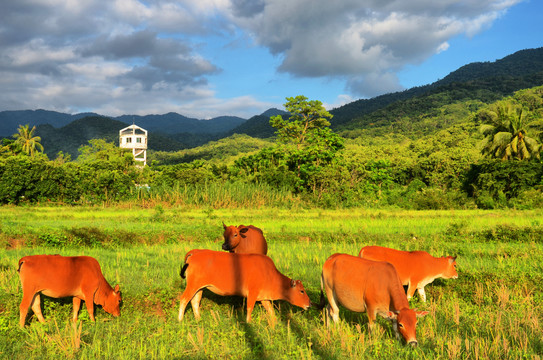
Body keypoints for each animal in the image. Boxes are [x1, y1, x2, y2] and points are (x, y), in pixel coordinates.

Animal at [178, 249, 310, 322]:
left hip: (199, 287)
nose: (309, 303)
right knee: (184, 299)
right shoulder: (252, 293)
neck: (269, 273)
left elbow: (271, 310)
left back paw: (198, 319)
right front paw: (248, 322)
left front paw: (275, 323)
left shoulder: (264, 297)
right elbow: (249, 308)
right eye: (302, 291)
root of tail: (195, 252)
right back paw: (180, 320)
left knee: (194, 301)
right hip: (193, 285)